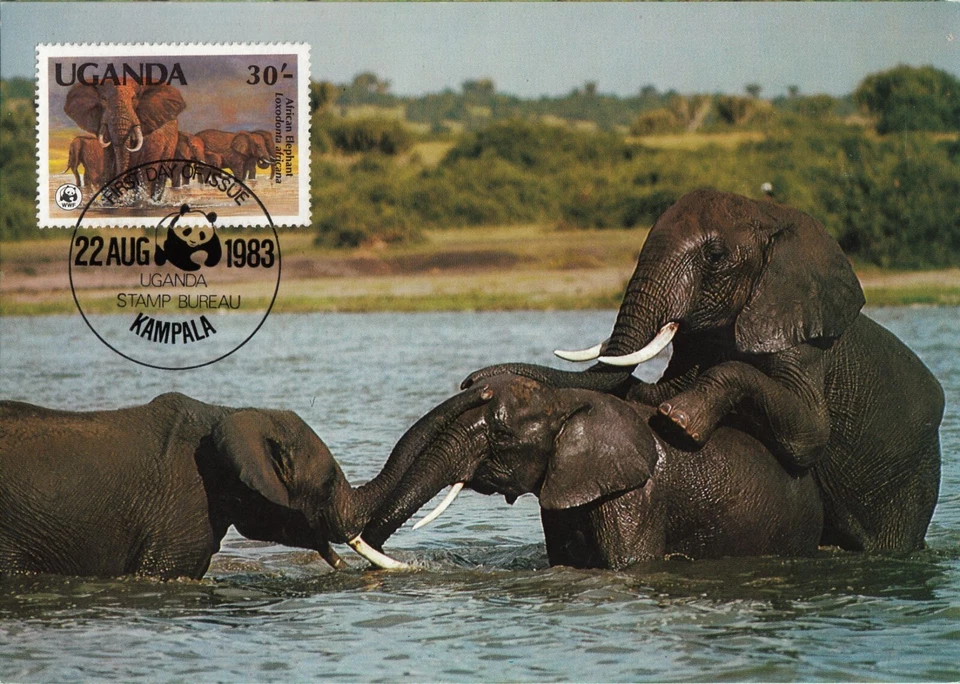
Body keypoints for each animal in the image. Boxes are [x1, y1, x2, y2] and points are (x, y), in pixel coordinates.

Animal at [463, 188, 944, 554]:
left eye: (714, 256)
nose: (472, 381)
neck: (770, 216)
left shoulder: (802, 338)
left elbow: (809, 435)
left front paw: (680, 421)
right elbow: (649, 390)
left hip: (912, 479)